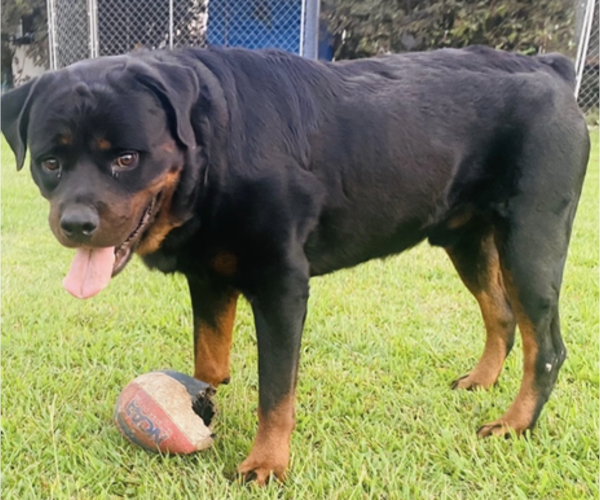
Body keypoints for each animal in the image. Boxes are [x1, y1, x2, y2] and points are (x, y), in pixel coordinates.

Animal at [0, 45, 592, 482]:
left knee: (546, 347)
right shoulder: (208, 276)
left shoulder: (281, 285)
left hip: (531, 239)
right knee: (502, 315)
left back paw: (514, 424)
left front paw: (266, 464)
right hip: (468, 239)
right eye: (51, 162)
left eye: (126, 158)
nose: (76, 223)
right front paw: (199, 402)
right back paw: (482, 381)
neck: (216, 152)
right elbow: (208, 362)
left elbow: (275, 390)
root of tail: (551, 69)